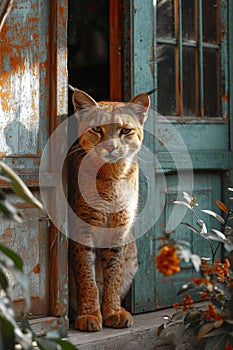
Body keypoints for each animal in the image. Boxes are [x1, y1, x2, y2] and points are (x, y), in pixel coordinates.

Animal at [68, 89, 150, 330]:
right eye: (97, 129)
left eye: (125, 131)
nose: (111, 147)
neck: (113, 173)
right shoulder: (82, 227)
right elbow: (87, 275)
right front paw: (89, 314)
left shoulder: (120, 229)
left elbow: (114, 273)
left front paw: (112, 311)